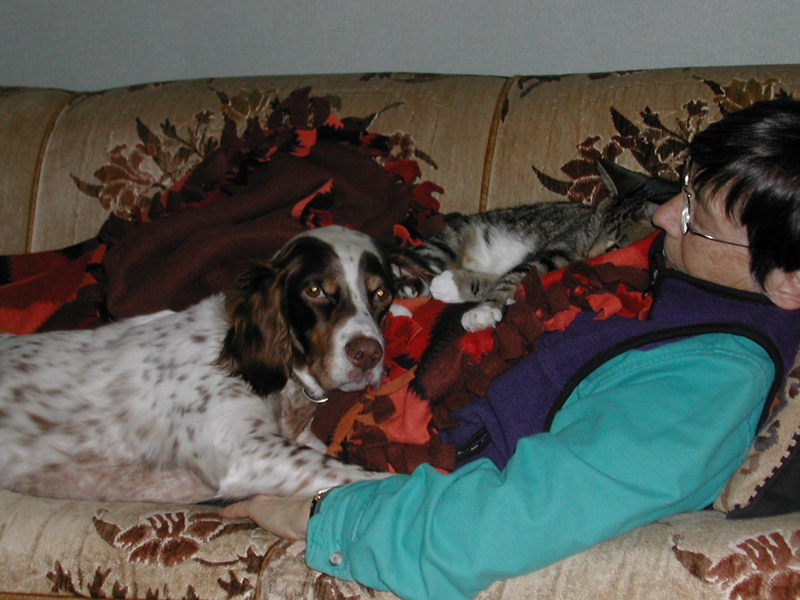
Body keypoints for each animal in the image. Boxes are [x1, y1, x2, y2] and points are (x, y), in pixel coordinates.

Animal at [393, 159, 680, 332]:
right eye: (592, 232)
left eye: (615, 246)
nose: (587, 256)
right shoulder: (556, 249)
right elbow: (518, 273)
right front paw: (484, 305)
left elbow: (515, 277)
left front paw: (468, 295)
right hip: (446, 244)